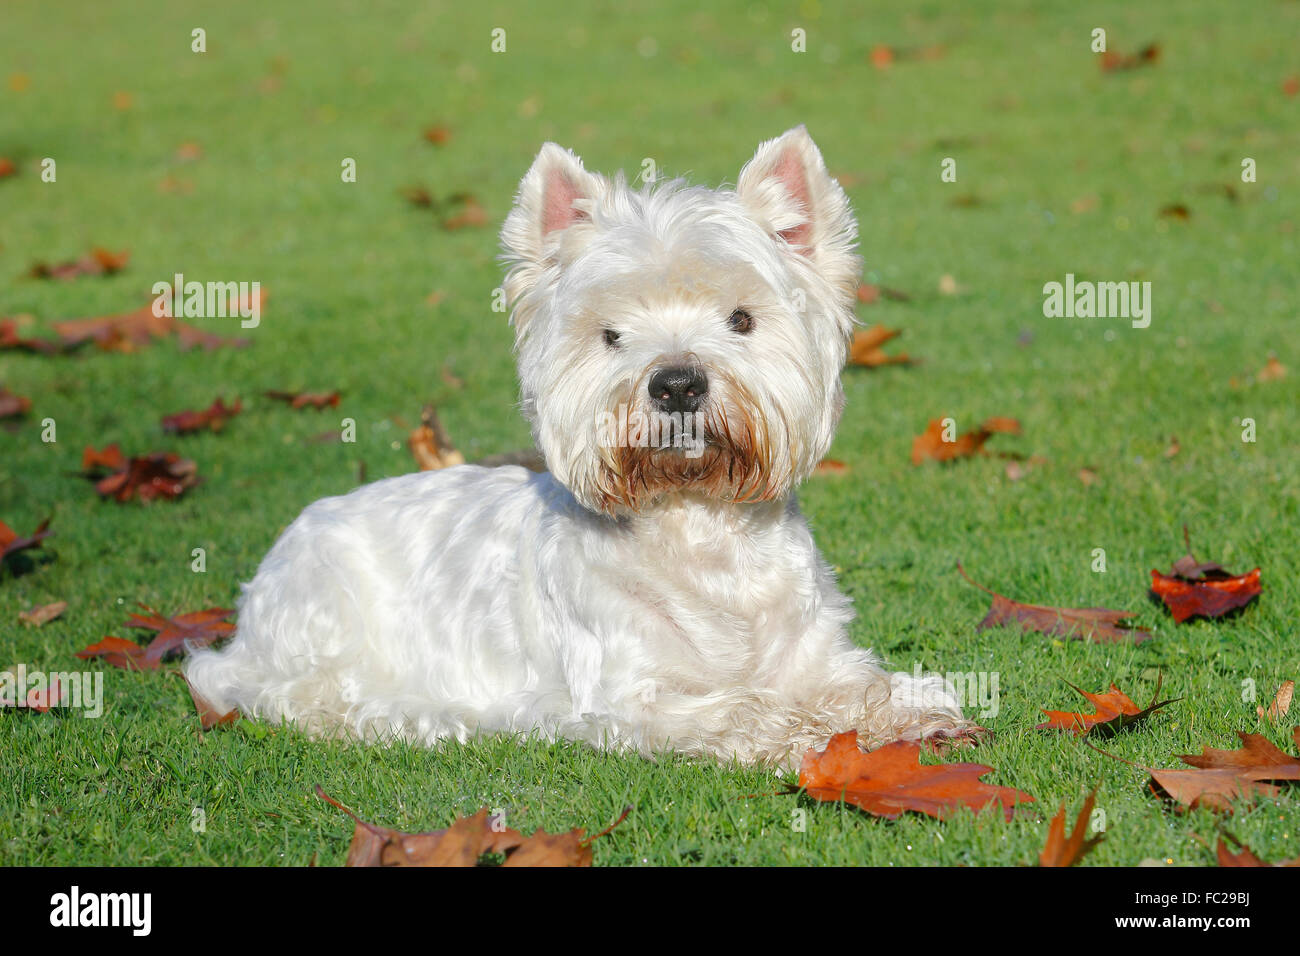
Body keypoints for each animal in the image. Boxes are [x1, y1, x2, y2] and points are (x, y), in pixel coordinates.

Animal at [188, 128, 972, 770]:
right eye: (611, 334)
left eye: (742, 319)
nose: (677, 383)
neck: (701, 530)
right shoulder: (628, 696)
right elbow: (741, 707)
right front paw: (800, 733)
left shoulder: (816, 651)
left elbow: (855, 684)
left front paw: (911, 709)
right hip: (322, 631)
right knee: (305, 697)